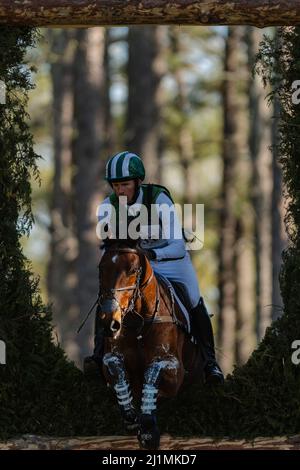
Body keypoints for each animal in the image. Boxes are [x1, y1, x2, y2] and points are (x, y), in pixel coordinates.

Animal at [97, 241, 203, 450]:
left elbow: (152, 372)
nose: (109, 323)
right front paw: (131, 416)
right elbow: (115, 367)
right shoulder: (111, 357)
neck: (138, 321)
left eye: (132, 270)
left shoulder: (174, 371)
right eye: (101, 268)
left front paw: (148, 430)